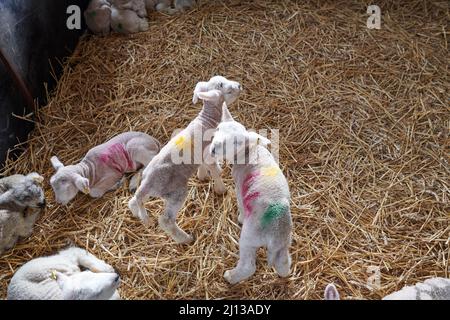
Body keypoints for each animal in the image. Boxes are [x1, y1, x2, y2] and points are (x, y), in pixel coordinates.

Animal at [128, 76, 243, 244]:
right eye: (224, 87)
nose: (239, 85)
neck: (206, 119)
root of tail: (147, 182)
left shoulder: (201, 154)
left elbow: (204, 166)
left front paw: (202, 175)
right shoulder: (209, 153)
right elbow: (214, 171)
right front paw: (221, 189)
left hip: (151, 191)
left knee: (134, 200)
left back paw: (137, 212)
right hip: (176, 192)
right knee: (166, 220)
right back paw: (186, 238)